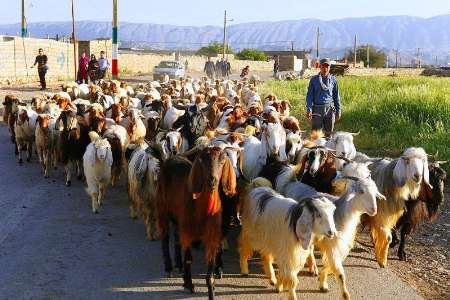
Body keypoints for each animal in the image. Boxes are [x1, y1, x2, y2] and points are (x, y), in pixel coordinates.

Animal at [156, 146, 237, 298]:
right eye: (202, 160)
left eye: (222, 160)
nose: (212, 181)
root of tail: (168, 159)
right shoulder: (188, 230)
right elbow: (189, 258)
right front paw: (188, 284)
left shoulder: (212, 234)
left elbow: (211, 265)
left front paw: (212, 290)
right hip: (162, 208)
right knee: (165, 236)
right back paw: (169, 267)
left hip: (179, 219)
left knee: (176, 237)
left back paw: (179, 265)